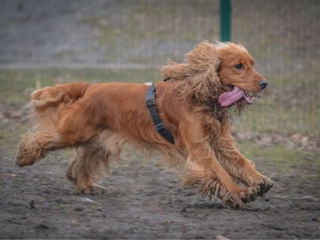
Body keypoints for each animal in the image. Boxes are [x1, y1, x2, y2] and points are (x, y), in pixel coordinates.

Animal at [15, 41, 272, 206]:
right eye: (238, 66)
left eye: (252, 64)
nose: (265, 84)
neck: (202, 97)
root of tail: (90, 87)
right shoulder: (200, 149)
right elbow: (221, 173)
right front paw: (240, 192)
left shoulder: (222, 144)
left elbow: (242, 163)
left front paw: (259, 181)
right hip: (74, 131)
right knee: (43, 138)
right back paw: (24, 157)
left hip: (100, 140)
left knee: (82, 161)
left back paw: (86, 185)